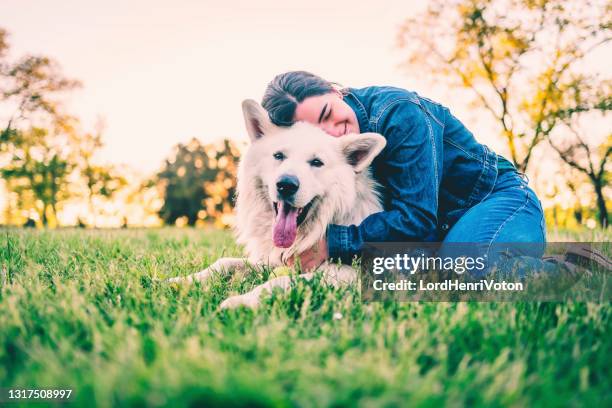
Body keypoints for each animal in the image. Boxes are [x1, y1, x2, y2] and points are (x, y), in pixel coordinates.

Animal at [167, 99, 384, 310]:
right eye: (279, 156)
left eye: (317, 162)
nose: (286, 185)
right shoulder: (269, 259)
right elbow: (224, 263)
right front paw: (184, 280)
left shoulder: (348, 273)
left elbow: (279, 281)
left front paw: (241, 302)